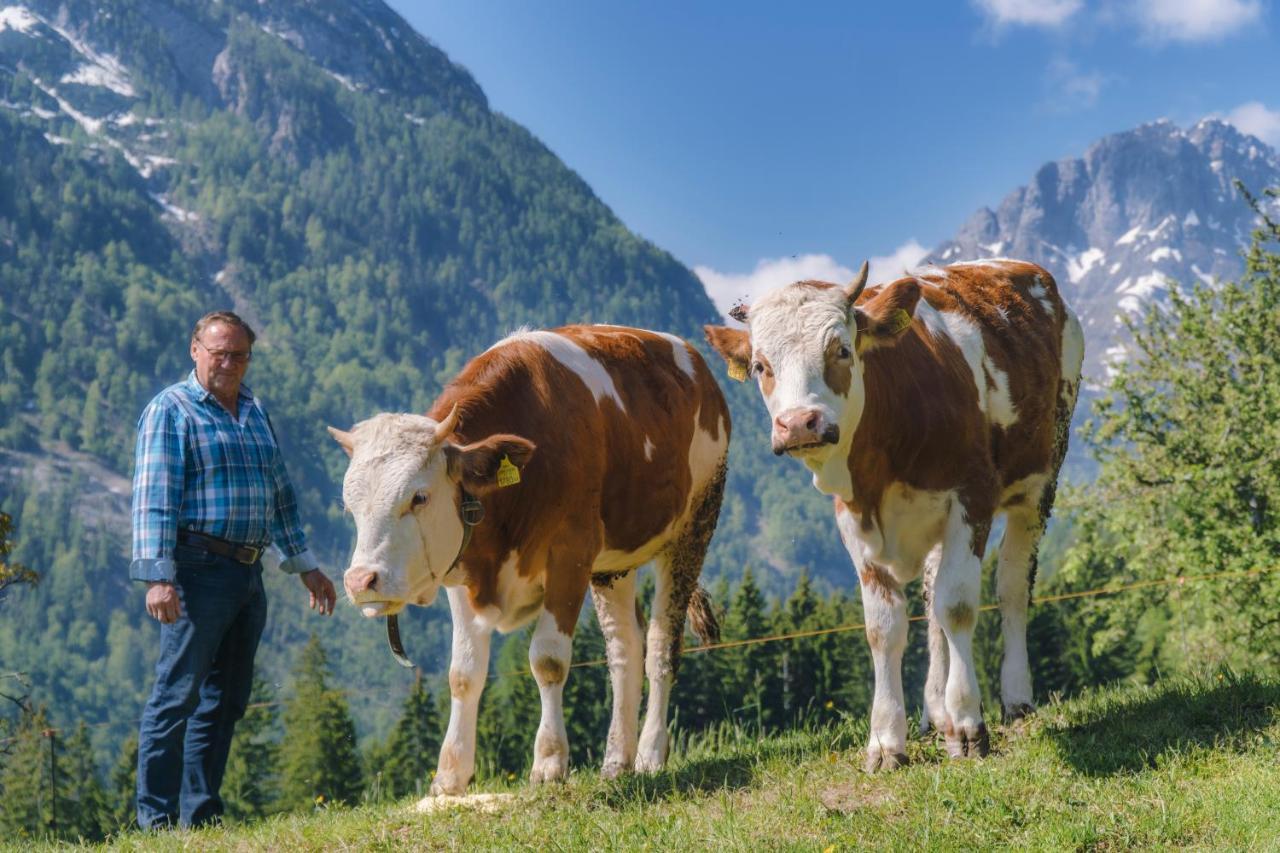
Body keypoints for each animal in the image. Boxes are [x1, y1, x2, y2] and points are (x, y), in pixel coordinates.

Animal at [330, 325, 732, 788]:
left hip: (694, 526)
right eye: (349, 508)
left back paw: (650, 752)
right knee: (624, 649)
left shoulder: (571, 554)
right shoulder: (464, 568)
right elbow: (463, 673)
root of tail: (695, 362)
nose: (361, 581)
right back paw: (617, 760)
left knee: (661, 644)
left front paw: (549, 762)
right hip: (613, 566)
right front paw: (450, 776)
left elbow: (548, 659)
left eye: (419, 497)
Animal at [706, 256, 1085, 768]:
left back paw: (1015, 699)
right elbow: (884, 628)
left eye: (842, 350)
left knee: (1011, 586)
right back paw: (934, 714)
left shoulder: (972, 495)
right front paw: (888, 739)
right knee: (931, 597)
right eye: (761, 365)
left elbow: (958, 606)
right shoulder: (854, 520)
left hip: (1041, 481)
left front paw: (968, 724)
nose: (799, 424)